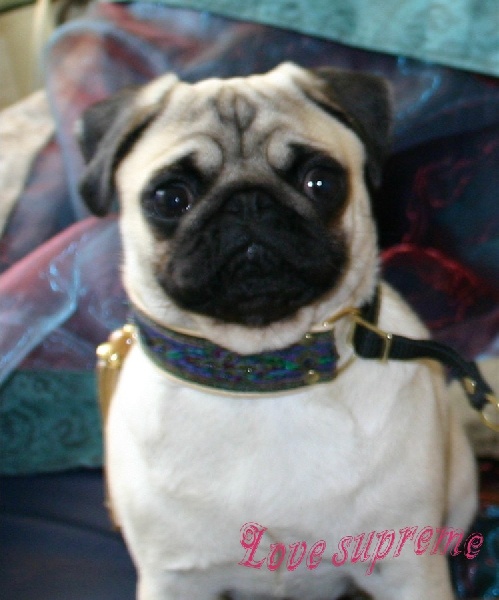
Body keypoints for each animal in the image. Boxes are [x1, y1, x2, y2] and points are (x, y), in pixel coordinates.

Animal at [78, 63, 477, 599]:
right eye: (170, 198)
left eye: (320, 182)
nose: (248, 202)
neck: (262, 373)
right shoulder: (174, 579)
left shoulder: (408, 572)